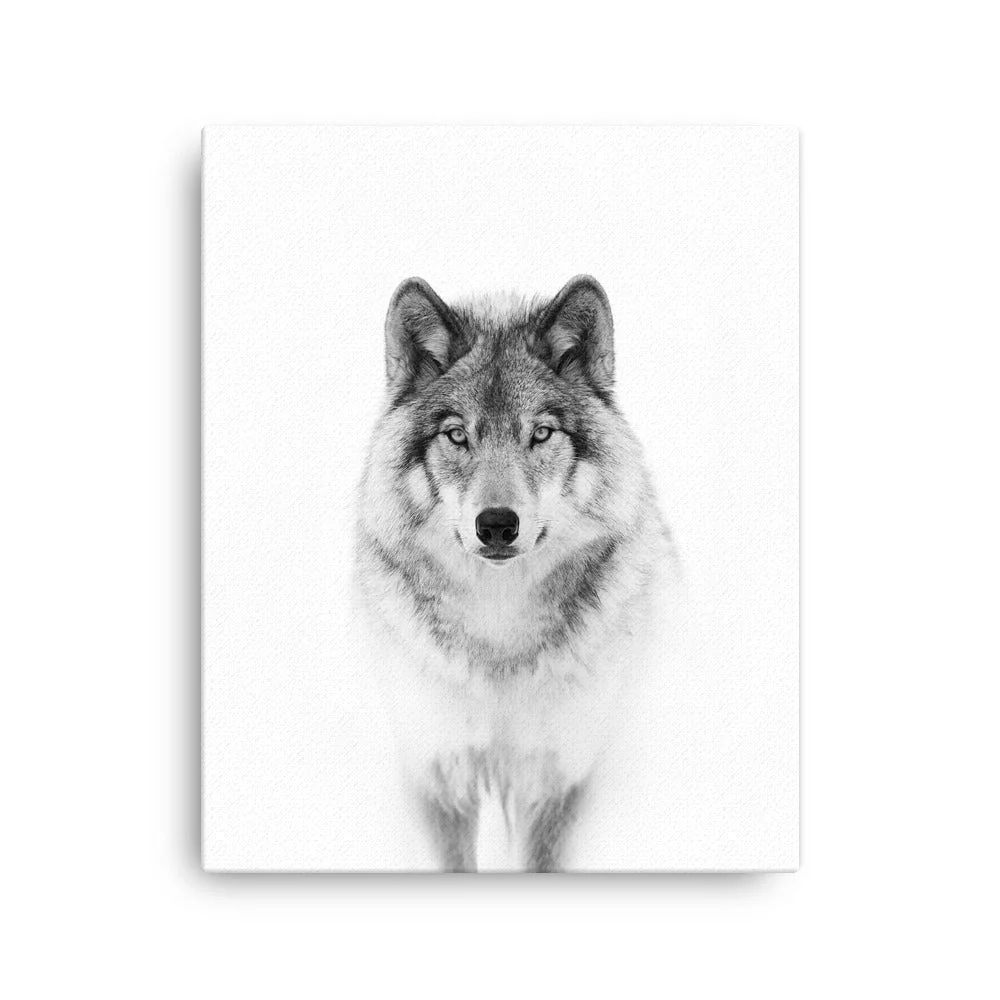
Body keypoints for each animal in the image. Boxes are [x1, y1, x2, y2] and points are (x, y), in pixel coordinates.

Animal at [354, 275, 677, 872]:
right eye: (458, 436)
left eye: (541, 434)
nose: (498, 525)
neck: (498, 634)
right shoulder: (437, 770)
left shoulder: (560, 774)